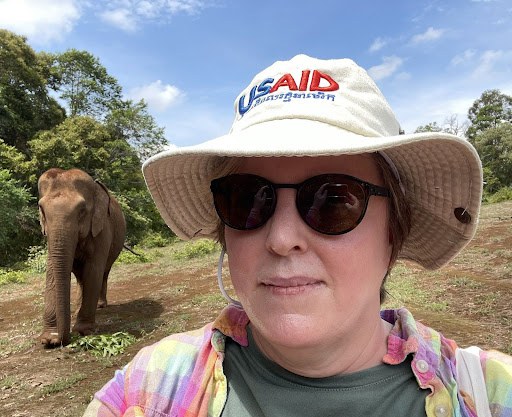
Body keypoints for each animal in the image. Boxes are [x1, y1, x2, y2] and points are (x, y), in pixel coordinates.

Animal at [37, 167, 126, 346]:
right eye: (41, 209)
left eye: (82, 210)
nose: (61, 341)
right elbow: (51, 272)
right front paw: (49, 339)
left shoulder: (102, 228)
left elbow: (93, 270)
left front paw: (83, 331)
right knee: (80, 277)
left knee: (103, 272)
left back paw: (100, 306)